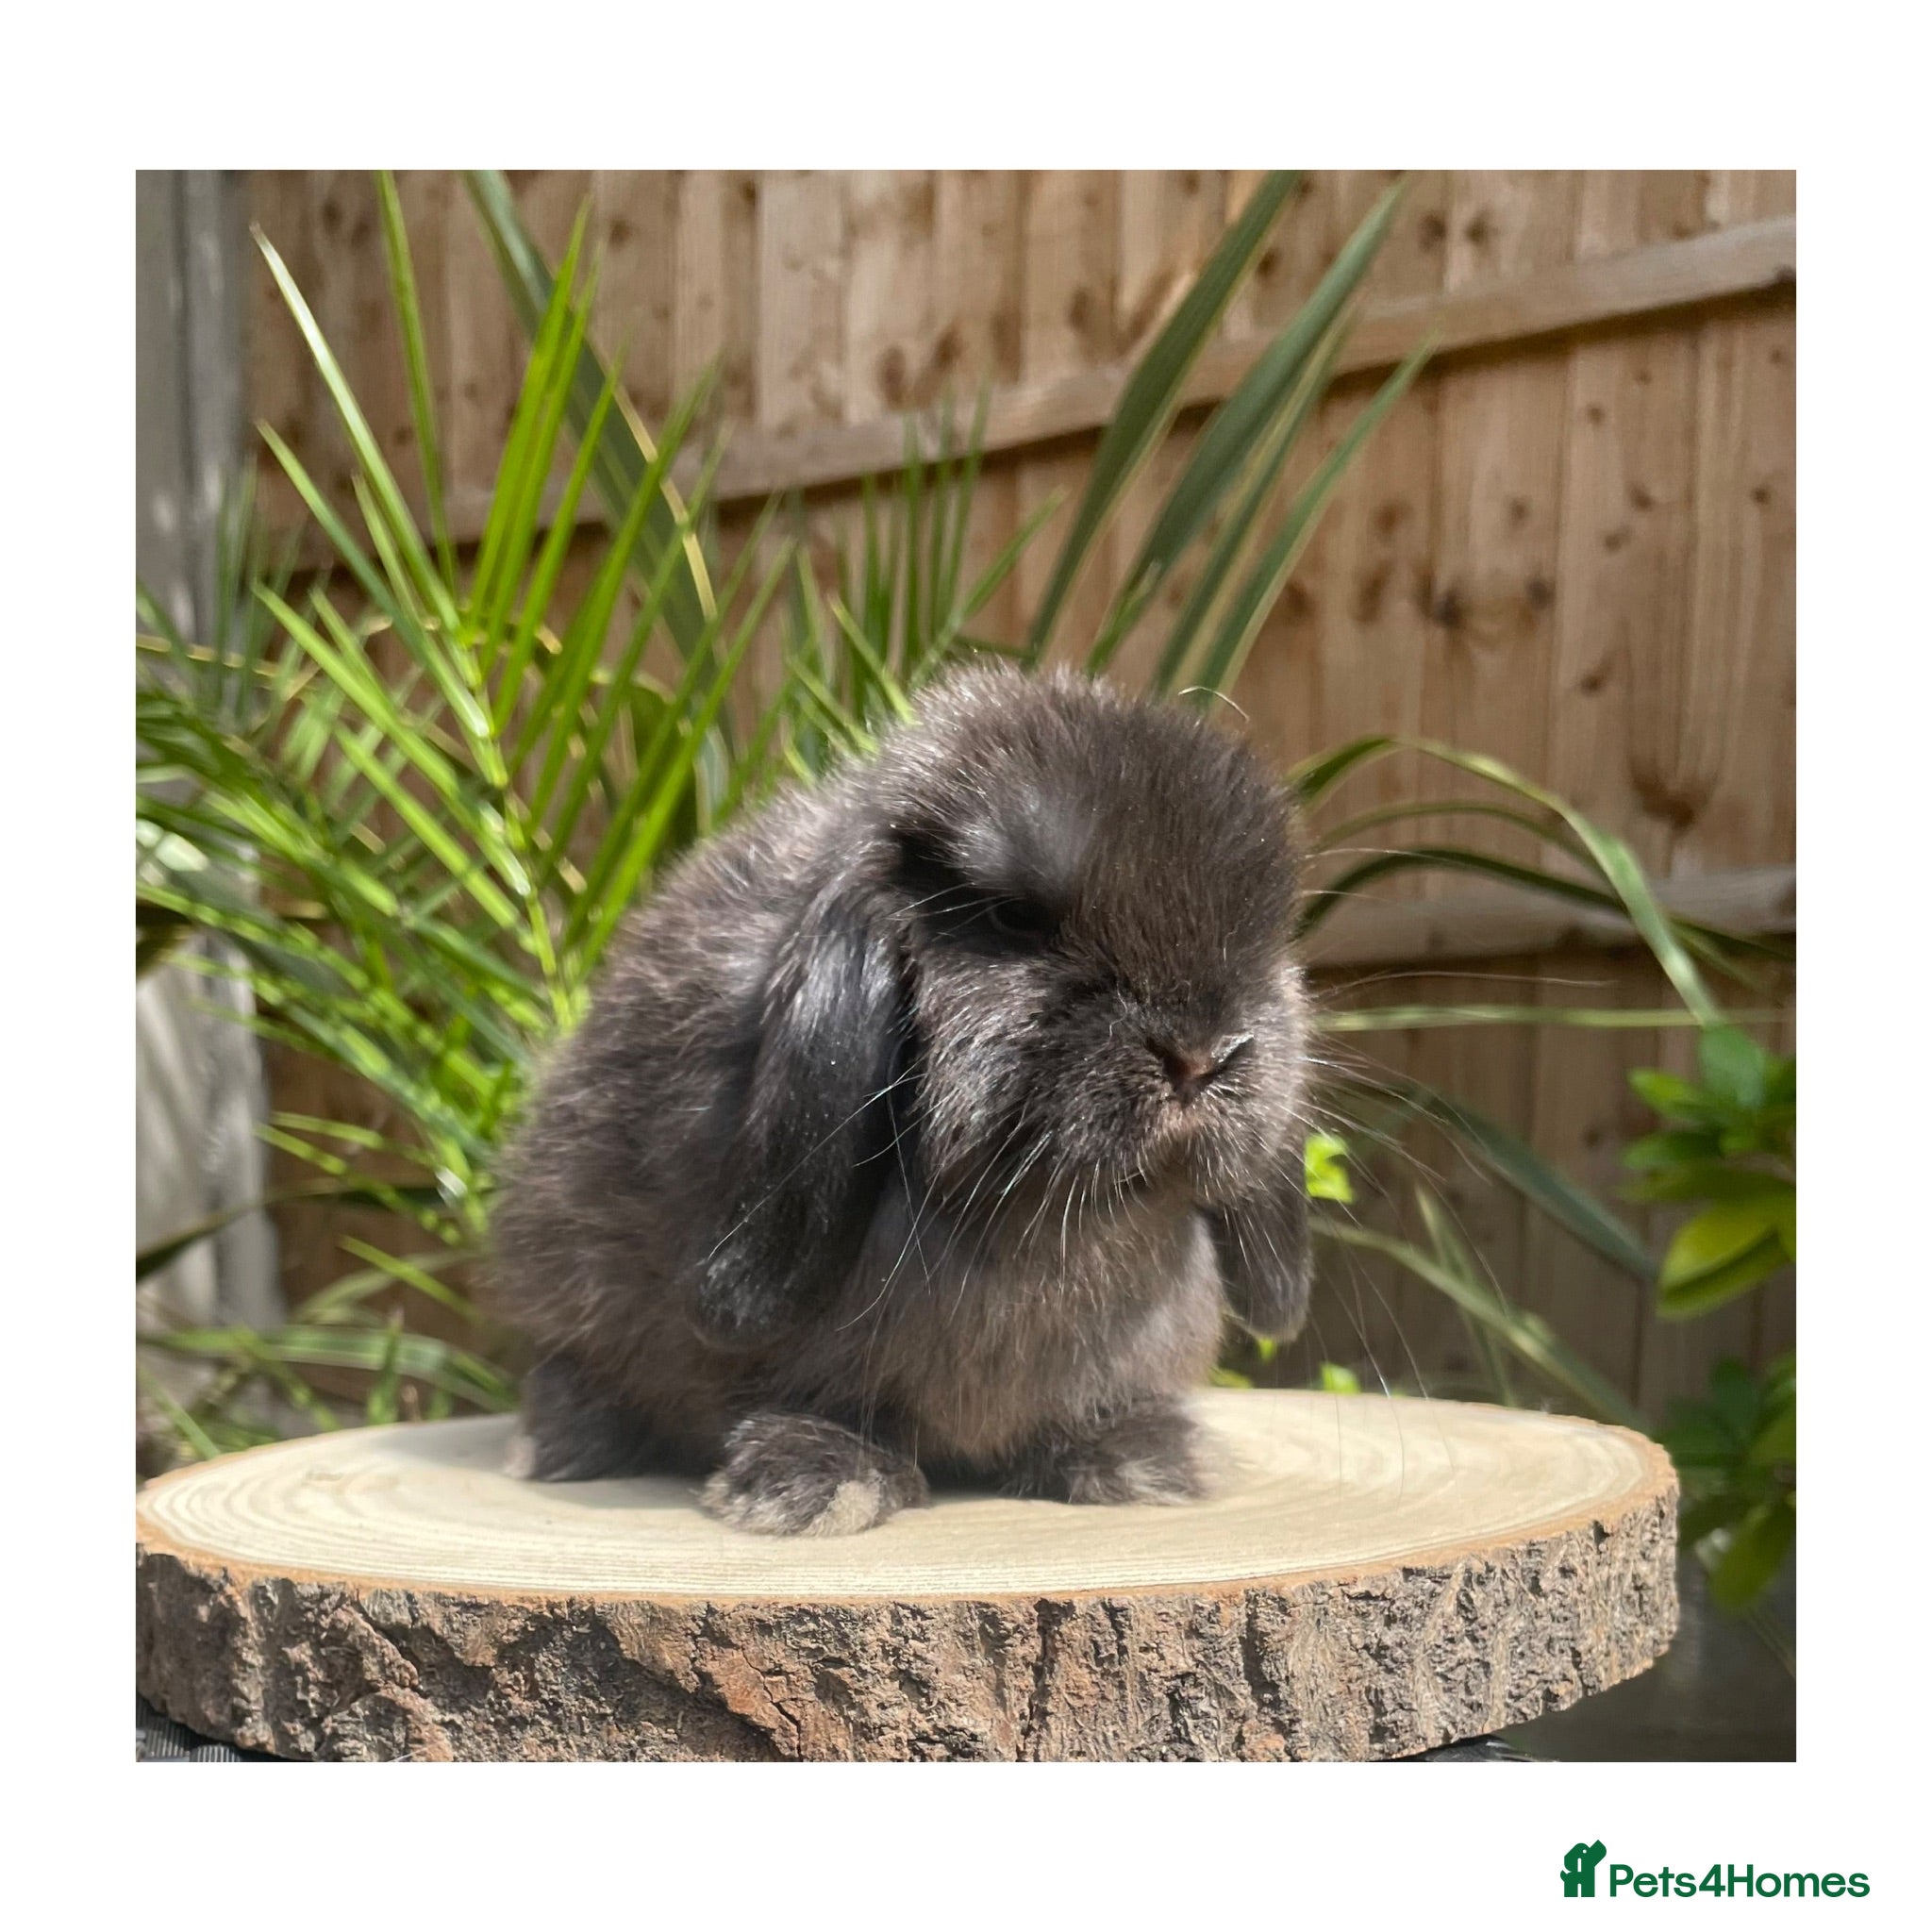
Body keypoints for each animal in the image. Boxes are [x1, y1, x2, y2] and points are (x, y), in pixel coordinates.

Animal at [489, 665, 1314, 1536]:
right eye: (1013, 918)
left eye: (1265, 934)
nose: (1202, 1053)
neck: (1057, 1216)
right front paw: (815, 1483)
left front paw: (1139, 1459)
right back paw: (559, 1446)